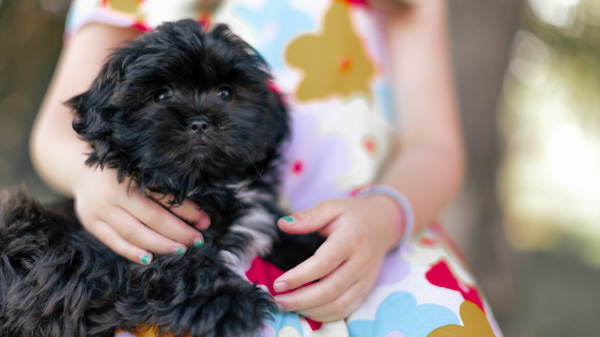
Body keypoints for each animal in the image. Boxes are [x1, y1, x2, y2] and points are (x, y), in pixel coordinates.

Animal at [0, 20, 318, 336]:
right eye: (162, 95)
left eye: (225, 93)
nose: (200, 122)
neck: (203, 184)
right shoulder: (139, 250)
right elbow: (184, 266)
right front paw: (229, 302)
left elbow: (279, 229)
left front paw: (315, 248)